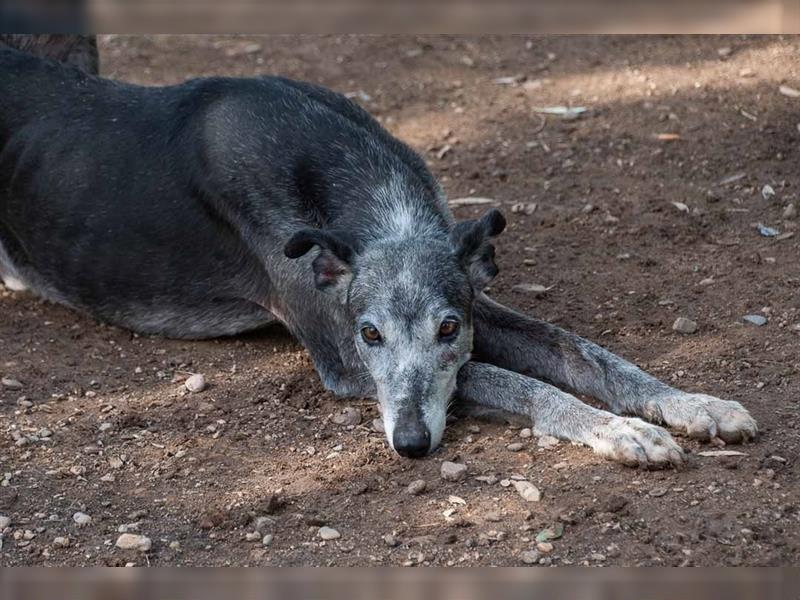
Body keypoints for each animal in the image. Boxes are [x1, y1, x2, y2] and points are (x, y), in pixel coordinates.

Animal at [0, 41, 756, 464]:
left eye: (448, 328)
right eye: (369, 335)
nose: (411, 446)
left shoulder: (474, 298)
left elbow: (586, 355)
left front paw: (690, 404)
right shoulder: (343, 360)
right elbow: (521, 382)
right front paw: (622, 433)